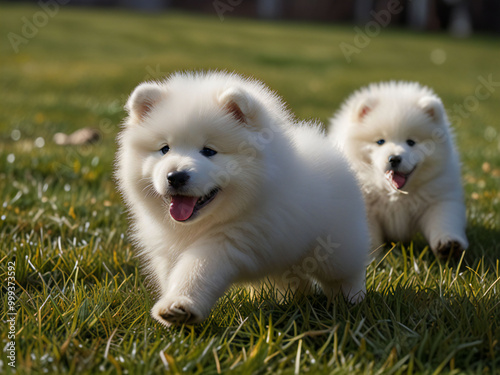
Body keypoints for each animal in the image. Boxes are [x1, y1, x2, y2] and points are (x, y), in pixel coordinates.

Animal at [115, 72, 370, 328]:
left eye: (209, 151)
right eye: (164, 149)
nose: (176, 176)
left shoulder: (228, 239)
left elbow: (196, 270)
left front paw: (180, 305)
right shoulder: (166, 248)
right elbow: (172, 273)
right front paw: (172, 309)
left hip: (335, 246)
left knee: (346, 272)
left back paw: (350, 300)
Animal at [330, 81, 466, 260]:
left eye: (411, 142)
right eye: (380, 141)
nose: (394, 158)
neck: (396, 196)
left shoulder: (439, 197)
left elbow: (443, 220)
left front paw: (448, 245)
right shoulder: (365, 207)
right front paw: (371, 258)